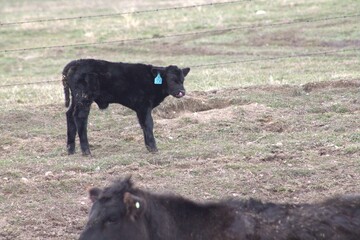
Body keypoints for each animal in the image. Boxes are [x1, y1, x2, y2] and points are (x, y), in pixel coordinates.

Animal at [62, 59, 191, 155]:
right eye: (171, 79)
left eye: (182, 80)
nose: (182, 92)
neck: (152, 81)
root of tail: (76, 62)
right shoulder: (143, 106)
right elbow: (148, 124)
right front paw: (153, 148)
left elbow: (143, 125)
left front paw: (148, 146)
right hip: (84, 99)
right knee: (79, 117)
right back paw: (86, 151)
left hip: (76, 99)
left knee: (69, 115)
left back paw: (71, 150)